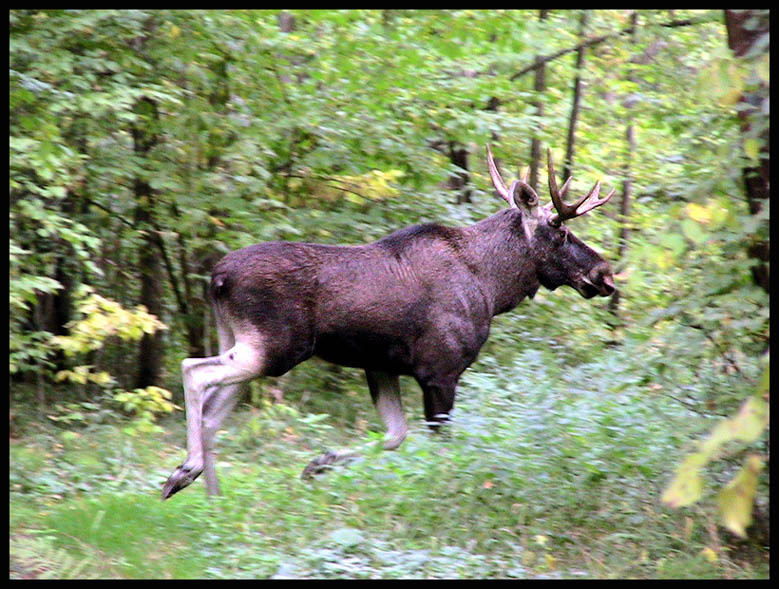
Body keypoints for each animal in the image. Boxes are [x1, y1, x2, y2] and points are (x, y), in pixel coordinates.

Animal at [162, 145, 616, 500]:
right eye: (560, 232)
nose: (604, 274)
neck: (492, 288)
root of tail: (217, 279)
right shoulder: (440, 370)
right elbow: (438, 444)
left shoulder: (381, 367)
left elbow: (395, 435)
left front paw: (318, 464)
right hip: (275, 348)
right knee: (193, 371)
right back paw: (184, 471)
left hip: (243, 343)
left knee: (212, 415)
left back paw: (212, 498)